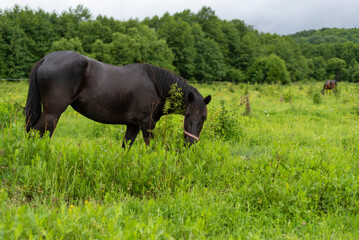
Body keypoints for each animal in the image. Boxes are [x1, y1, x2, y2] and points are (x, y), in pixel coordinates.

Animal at [24, 50, 211, 146]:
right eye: (187, 115)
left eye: (204, 118)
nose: (190, 143)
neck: (156, 85)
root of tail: (46, 59)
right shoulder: (147, 124)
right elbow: (150, 148)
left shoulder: (133, 126)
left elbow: (125, 148)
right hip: (53, 113)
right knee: (36, 134)